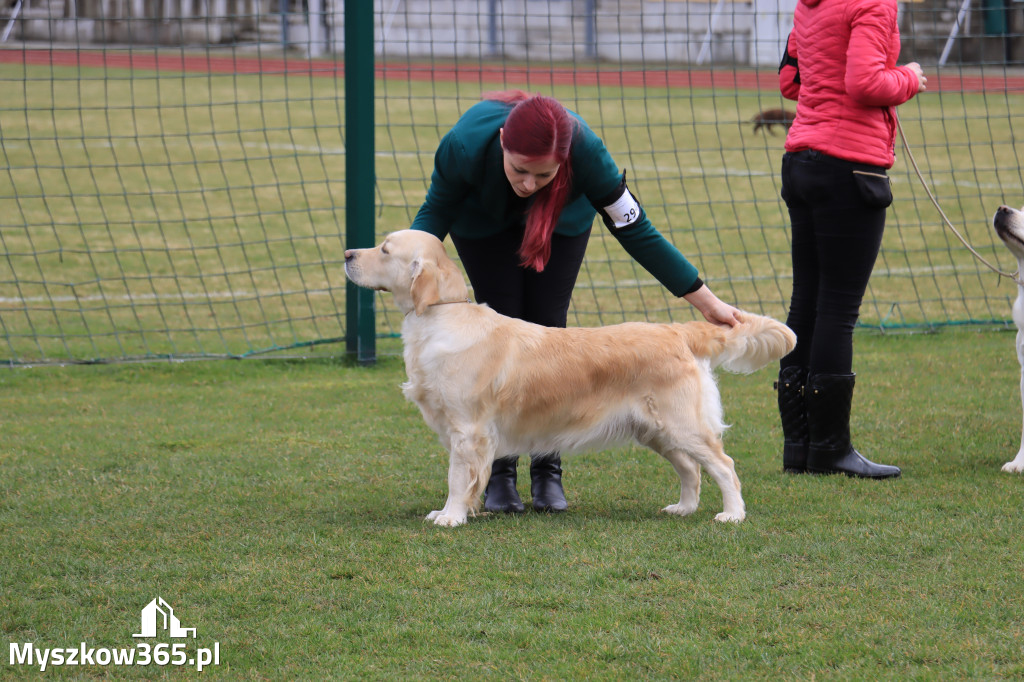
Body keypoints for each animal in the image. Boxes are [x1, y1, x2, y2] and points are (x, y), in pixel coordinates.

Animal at [346, 229, 798, 524]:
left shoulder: (468, 430)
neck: (441, 316)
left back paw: (732, 514)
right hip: (656, 430)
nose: (347, 253)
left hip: (682, 425)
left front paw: (451, 517)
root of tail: (677, 331)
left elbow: (458, 479)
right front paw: (445, 512)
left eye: (384, 249)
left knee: (724, 465)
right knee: (691, 470)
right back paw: (683, 508)